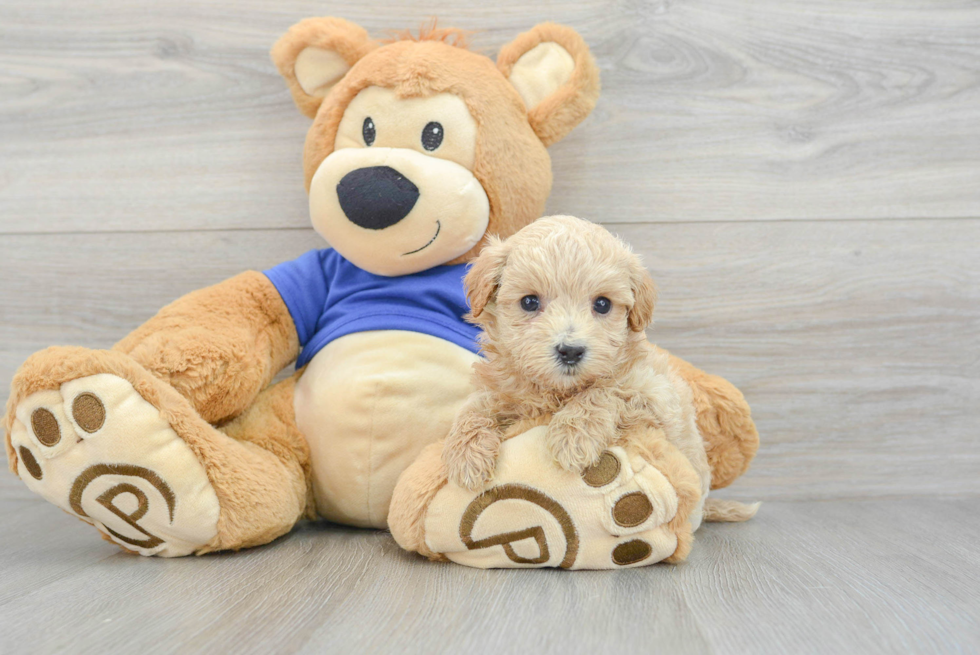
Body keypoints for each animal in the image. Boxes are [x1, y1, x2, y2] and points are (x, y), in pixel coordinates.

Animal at [440, 214, 708, 492]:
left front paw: (573, 434)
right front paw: (466, 453)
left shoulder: (657, 396)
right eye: (529, 302)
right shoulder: (502, 389)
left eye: (602, 304)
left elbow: (607, 390)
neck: (557, 391)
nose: (570, 351)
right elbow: (473, 407)